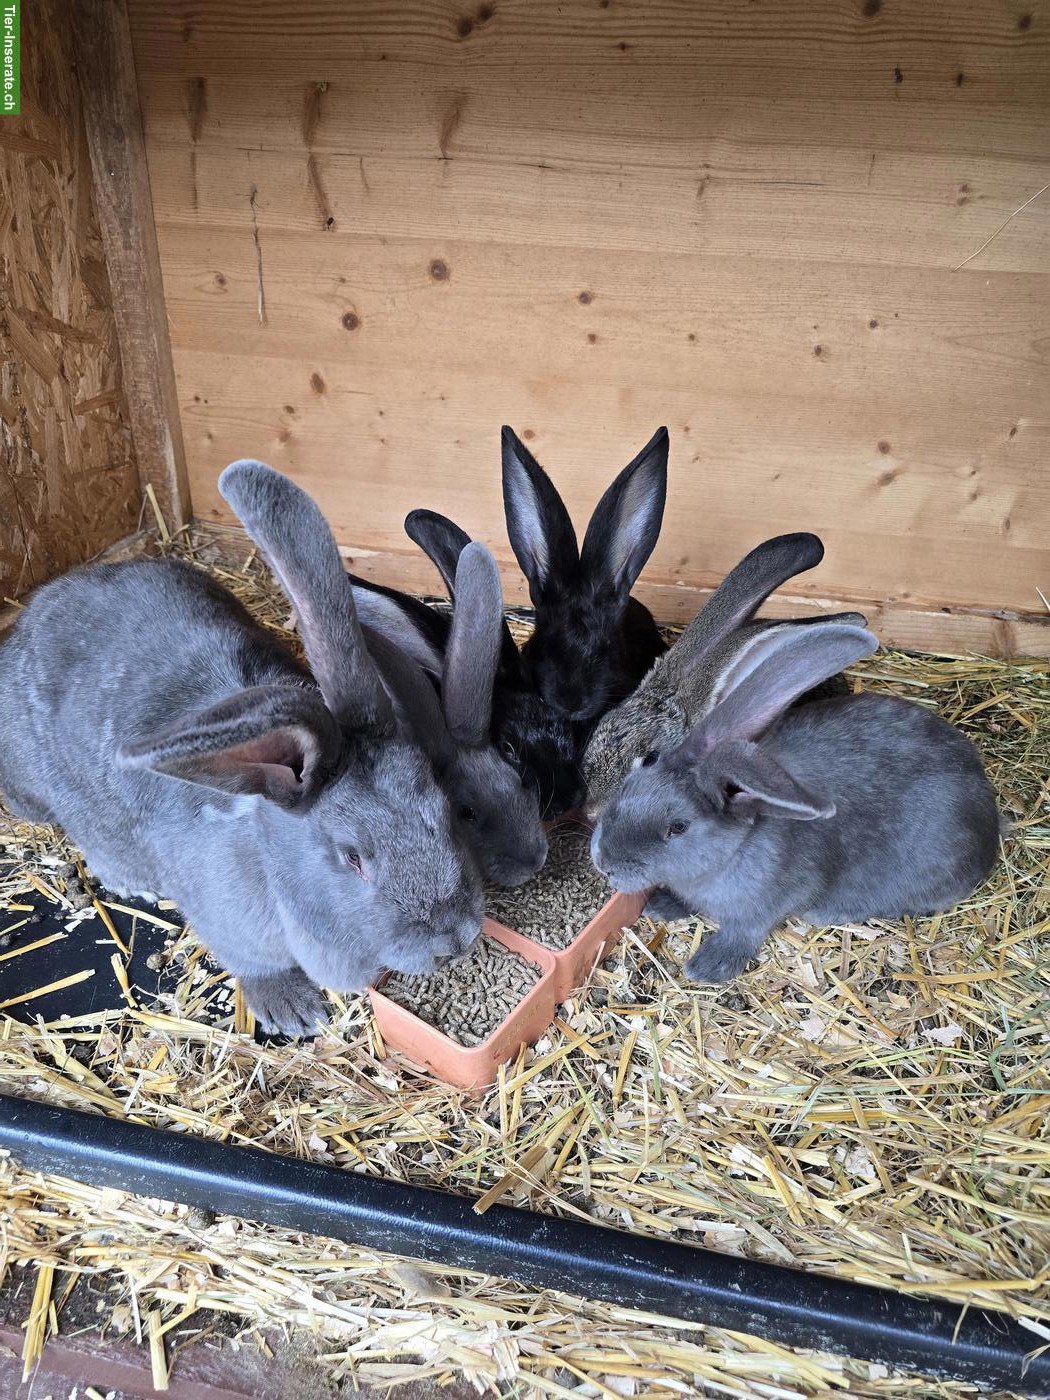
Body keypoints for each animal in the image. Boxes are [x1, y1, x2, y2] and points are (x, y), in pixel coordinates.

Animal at [0, 461, 483, 1036]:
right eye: (352, 858)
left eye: (446, 810)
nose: (455, 940)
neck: (271, 860)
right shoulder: (227, 922)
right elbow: (254, 964)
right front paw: (294, 1010)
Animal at [591, 620, 1002, 985]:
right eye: (632, 785)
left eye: (677, 827)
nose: (603, 863)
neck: (733, 851)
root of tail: (991, 820)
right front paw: (662, 906)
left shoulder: (764, 905)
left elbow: (743, 932)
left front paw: (708, 967)